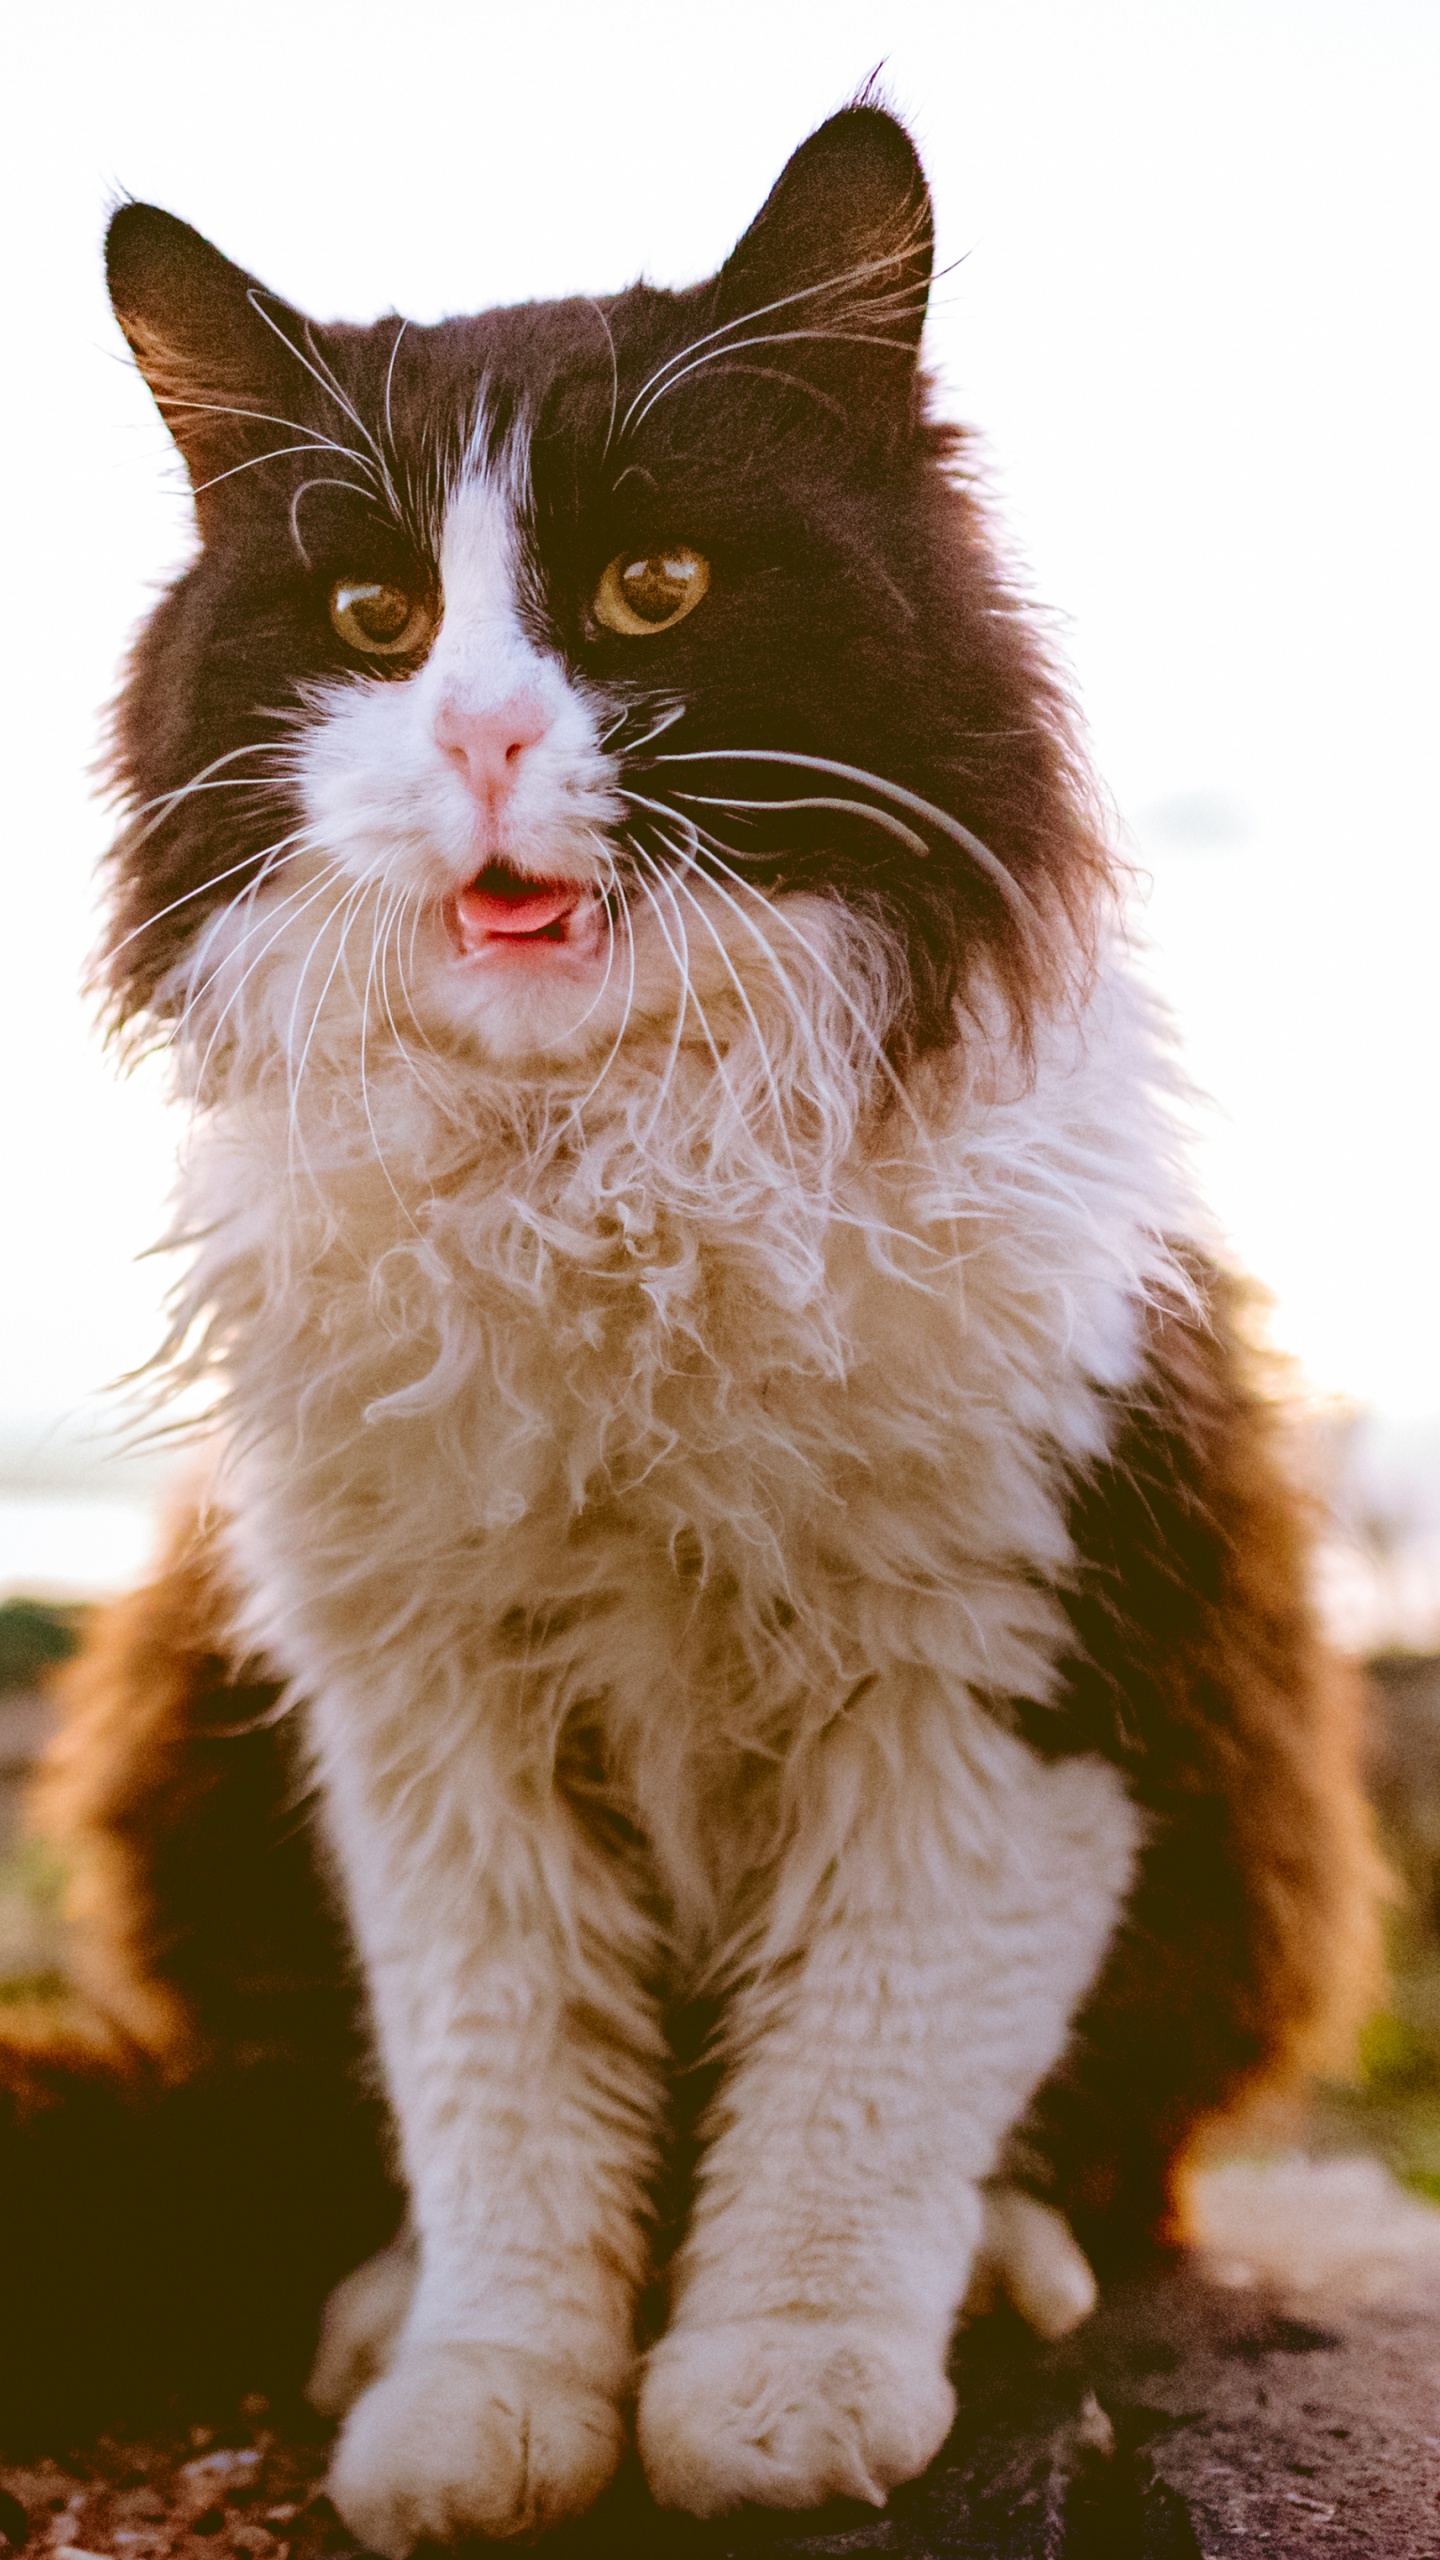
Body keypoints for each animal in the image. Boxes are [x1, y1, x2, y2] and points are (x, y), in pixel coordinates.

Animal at [11, 94, 1383, 2539]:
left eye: (653, 586)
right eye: (374, 618)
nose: (477, 735)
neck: (609, 1174)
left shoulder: (1003, 1670)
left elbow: (861, 2078)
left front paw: (781, 2389)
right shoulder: (425, 1708)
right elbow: (504, 2097)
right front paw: (486, 2403)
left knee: (1104, 2158)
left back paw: (1008, 2269)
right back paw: (374, 2311)